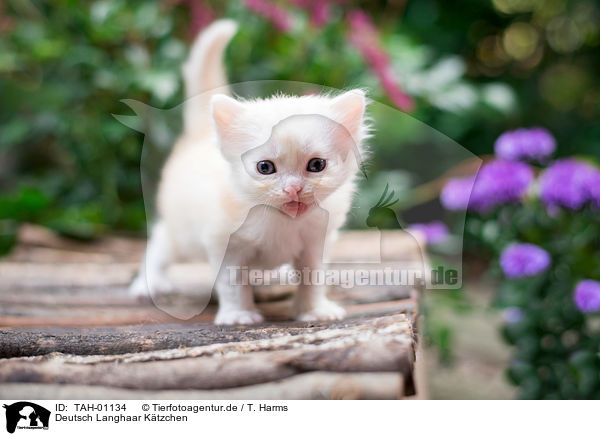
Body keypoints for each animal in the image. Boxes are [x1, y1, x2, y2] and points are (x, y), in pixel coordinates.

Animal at [131, 19, 370, 324]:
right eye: (265, 167)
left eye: (317, 165)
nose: (293, 188)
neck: (280, 221)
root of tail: (200, 134)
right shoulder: (224, 244)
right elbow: (232, 284)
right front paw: (238, 314)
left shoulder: (317, 243)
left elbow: (313, 279)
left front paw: (313, 310)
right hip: (181, 234)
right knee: (160, 244)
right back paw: (146, 284)